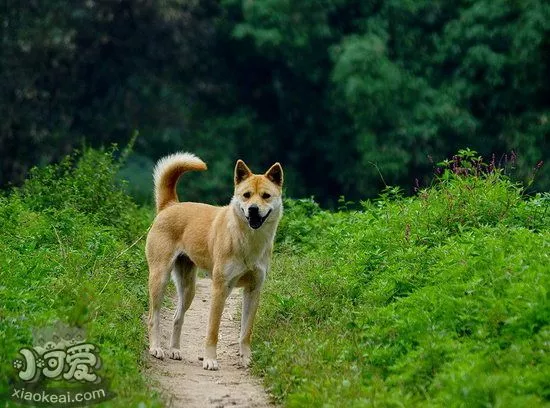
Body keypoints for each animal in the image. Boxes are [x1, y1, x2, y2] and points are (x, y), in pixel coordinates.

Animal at [147, 153, 284, 370]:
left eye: (266, 196)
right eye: (246, 195)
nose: (253, 210)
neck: (248, 240)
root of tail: (171, 205)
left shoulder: (253, 290)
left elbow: (246, 332)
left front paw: (246, 358)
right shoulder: (220, 288)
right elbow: (212, 330)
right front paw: (210, 359)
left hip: (188, 289)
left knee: (178, 318)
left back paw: (175, 350)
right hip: (159, 278)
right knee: (154, 317)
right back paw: (156, 348)